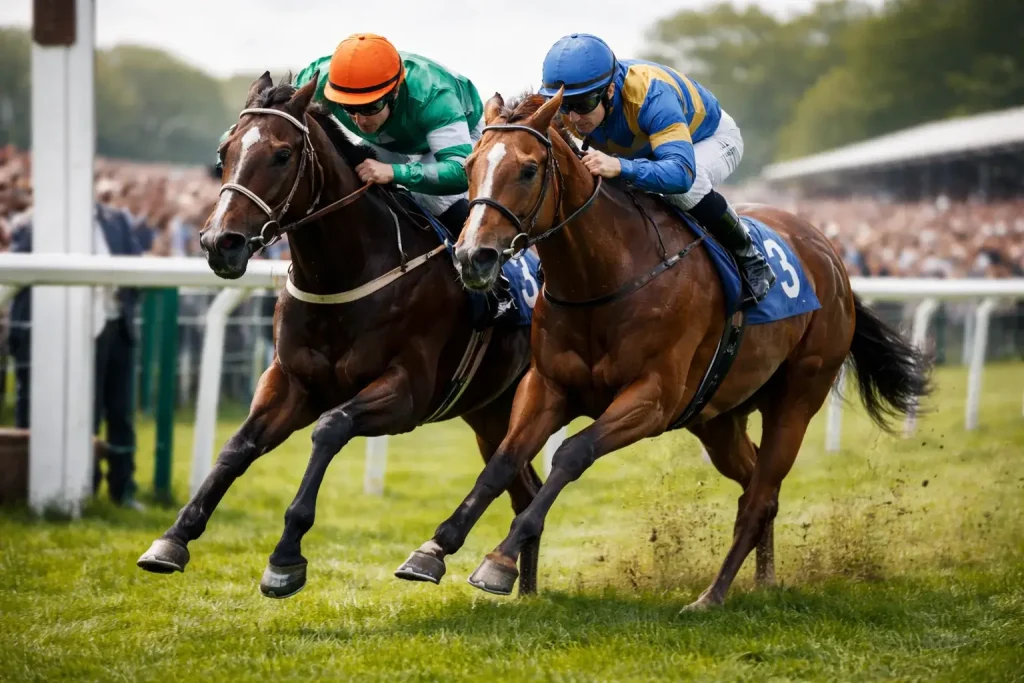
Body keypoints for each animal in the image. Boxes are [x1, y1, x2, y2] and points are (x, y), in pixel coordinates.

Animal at [136, 73, 546, 599]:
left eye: (282, 155)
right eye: (225, 150)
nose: (218, 243)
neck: (341, 275)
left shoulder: (406, 394)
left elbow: (330, 428)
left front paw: (285, 557)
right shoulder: (291, 381)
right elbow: (237, 446)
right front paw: (173, 538)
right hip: (490, 410)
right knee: (523, 488)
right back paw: (521, 587)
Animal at [394, 90, 931, 610]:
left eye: (527, 169)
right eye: (468, 167)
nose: (473, 257)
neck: (604, 277)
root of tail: (829, 254)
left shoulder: (654, 398)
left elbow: (572, 453)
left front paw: (500, 560)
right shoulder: (547, 386)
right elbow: (503, 462)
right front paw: (432, 549)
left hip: (797, 397)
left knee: (762, 492)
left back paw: (711, 596)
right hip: (717, 416)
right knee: (755, 481)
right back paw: (763, 580)